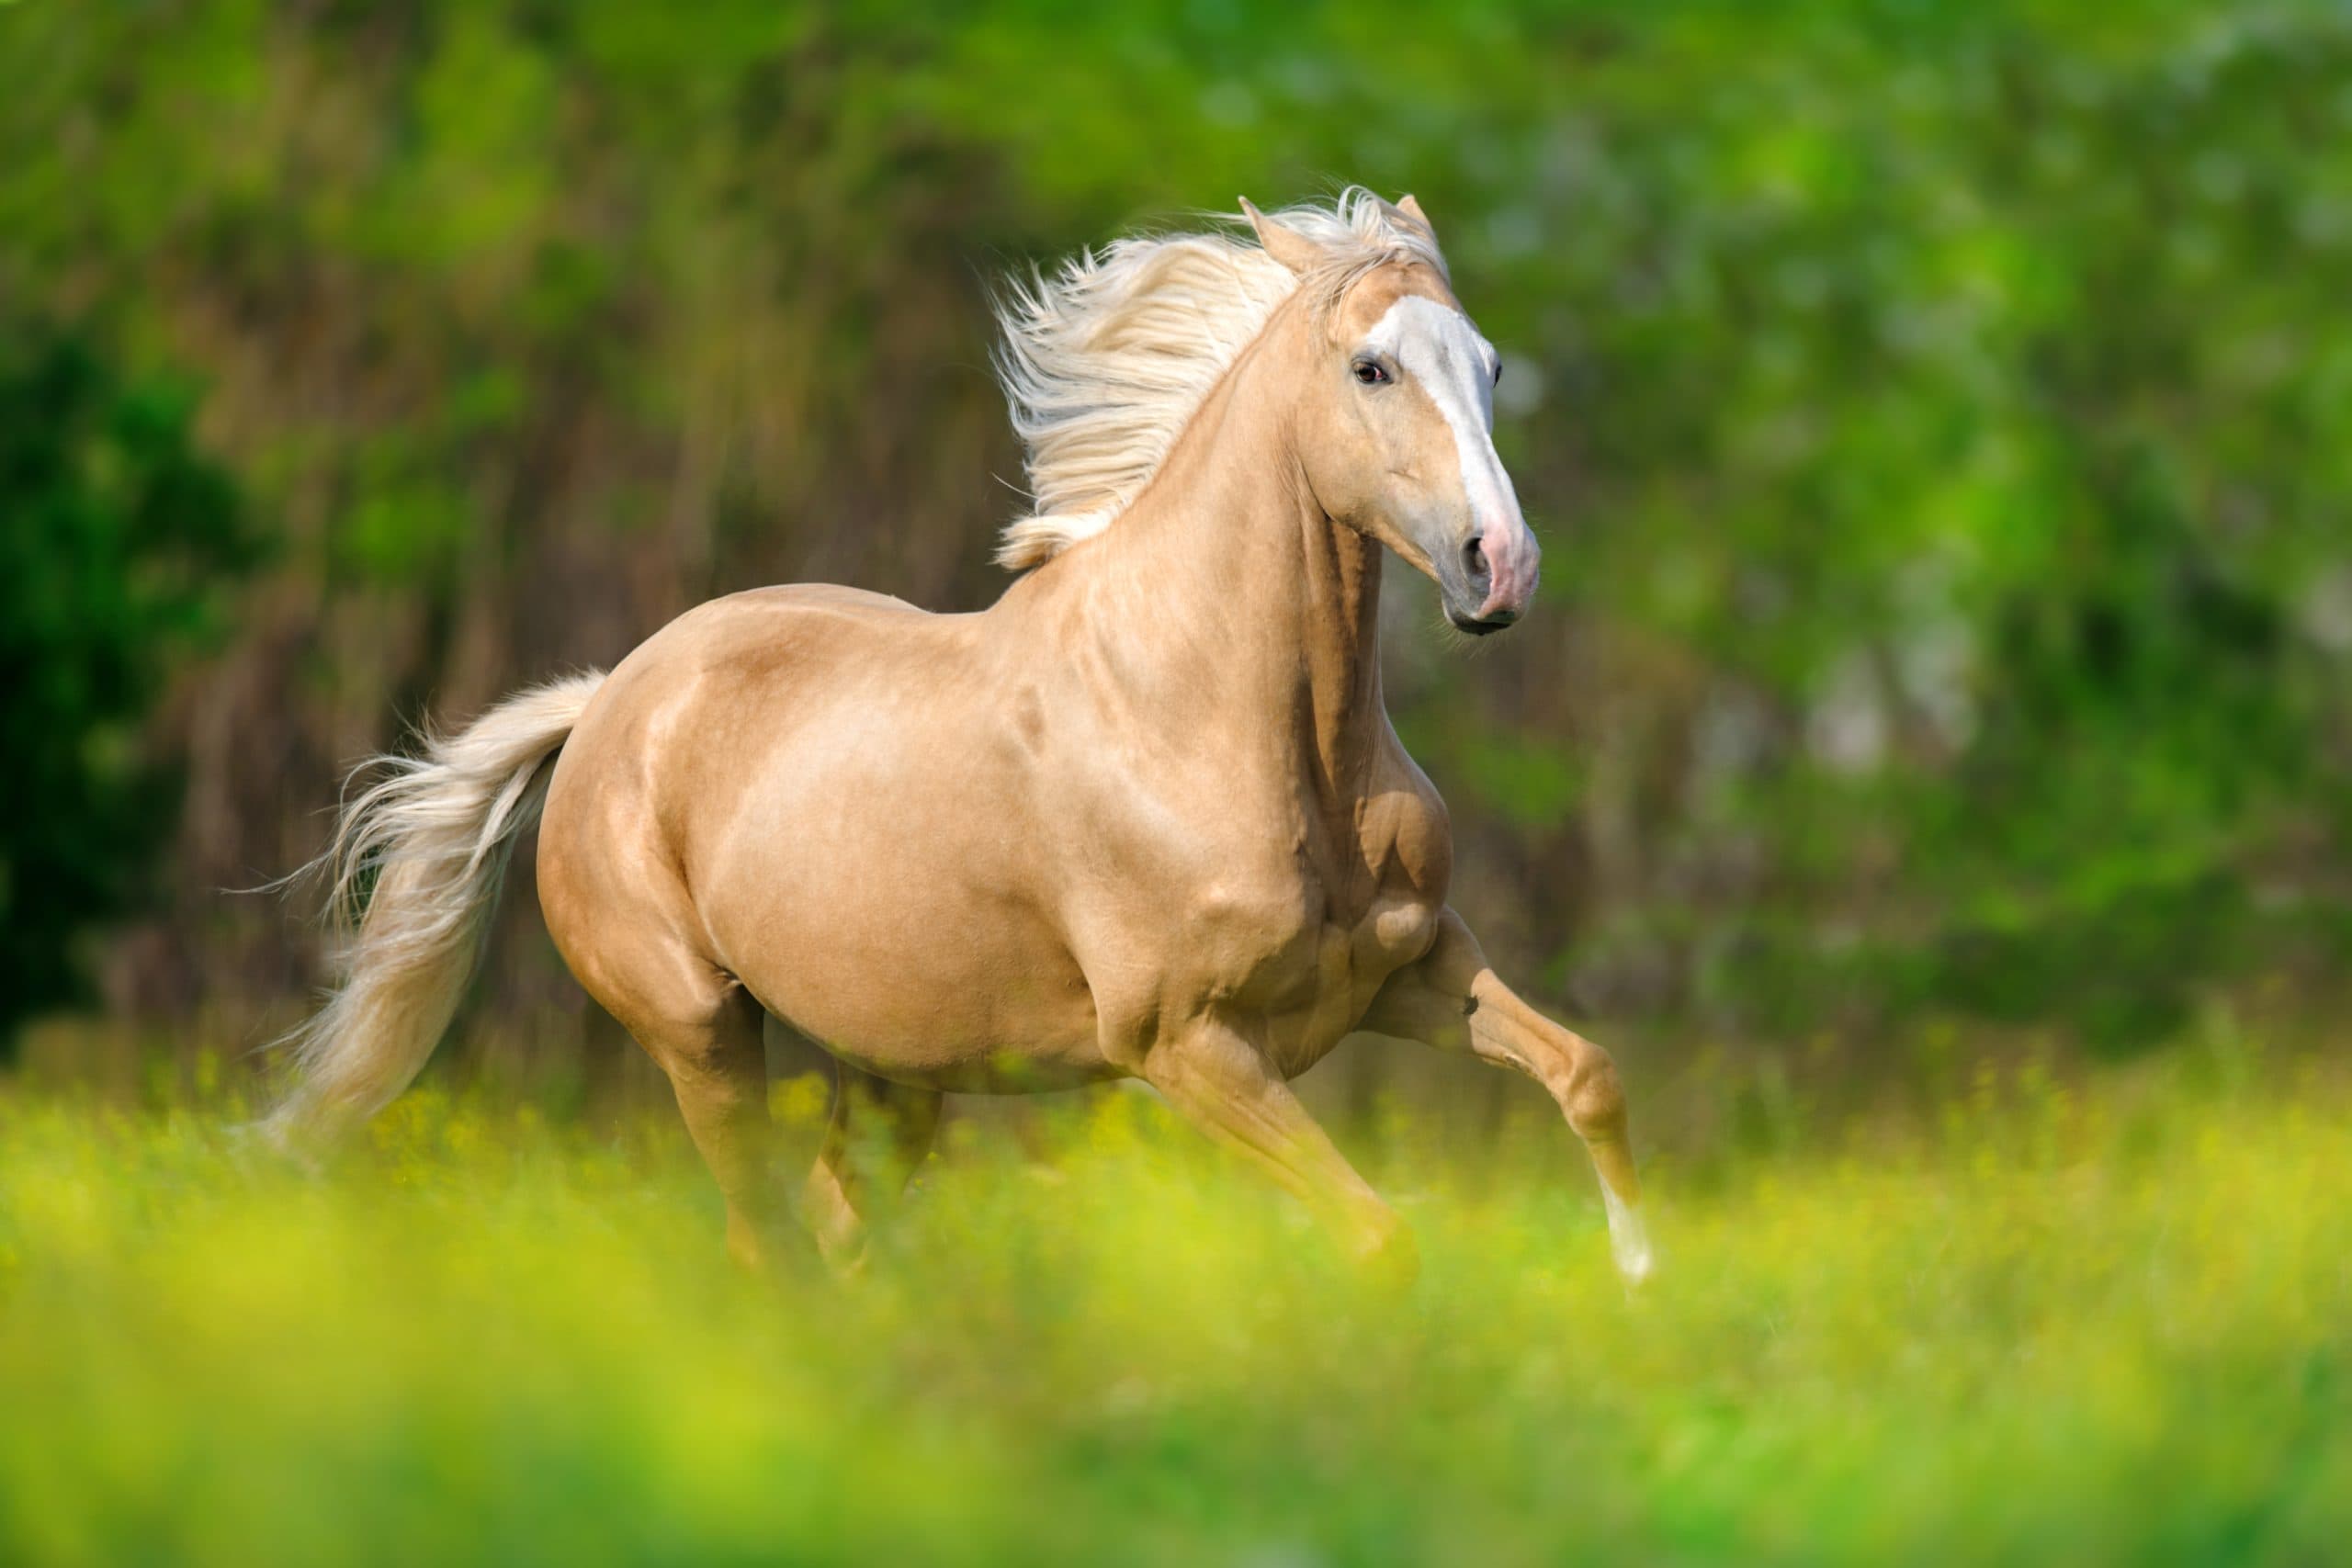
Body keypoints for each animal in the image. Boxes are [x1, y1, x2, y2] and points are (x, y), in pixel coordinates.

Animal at [269, 189, 1653, 1283]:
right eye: (1372, 368)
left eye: (1488, 366)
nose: (1499, 566)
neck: (1212, 723)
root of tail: (610, 700)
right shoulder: (1187, 1045)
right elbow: (1380, 1236)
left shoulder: (1414, 969)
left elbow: (1588, 1073)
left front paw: (1641, 1285)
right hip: (700, 1031)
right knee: (765, 1241)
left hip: (893, 1073)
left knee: (823, 1231)